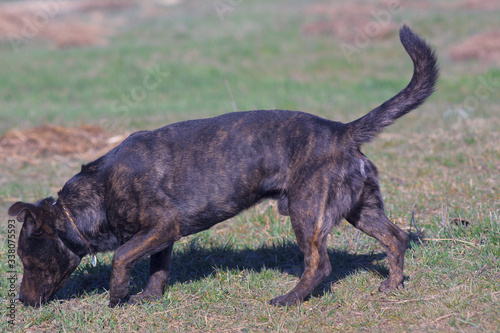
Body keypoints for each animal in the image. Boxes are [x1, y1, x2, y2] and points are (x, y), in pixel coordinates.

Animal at [7, 25, 438, 306]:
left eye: (27, 261)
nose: (22, 301)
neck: (96, 196)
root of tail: (342, 131)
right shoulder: (163, 236)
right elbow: (157, 267)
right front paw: (149, 297)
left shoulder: (161, 226)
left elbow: (122, 256)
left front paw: (117, 296)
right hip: (360, 210)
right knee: (396, 238)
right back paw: (392, 286)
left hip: (307, 212)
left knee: (320, 264)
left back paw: (289, 299)